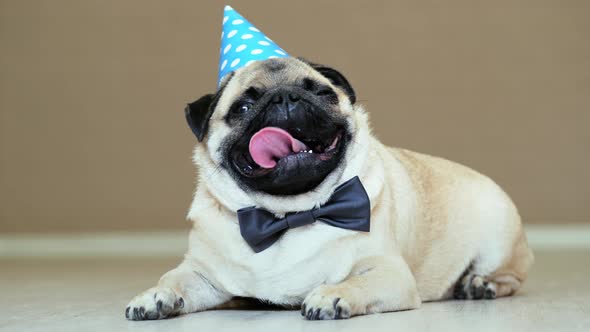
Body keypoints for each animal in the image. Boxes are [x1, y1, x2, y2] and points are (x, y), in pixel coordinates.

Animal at [125, 58, 536, 320]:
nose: (284, 97)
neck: (288, 214)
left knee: (510, 278)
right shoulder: (202, 274)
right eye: (242, 107)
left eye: (322, 93)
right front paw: (154, 296)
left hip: (497, 236)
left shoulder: (388, 274)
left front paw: (334, 294)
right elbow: (174, 279)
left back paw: (479, 284)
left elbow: (356, 283)